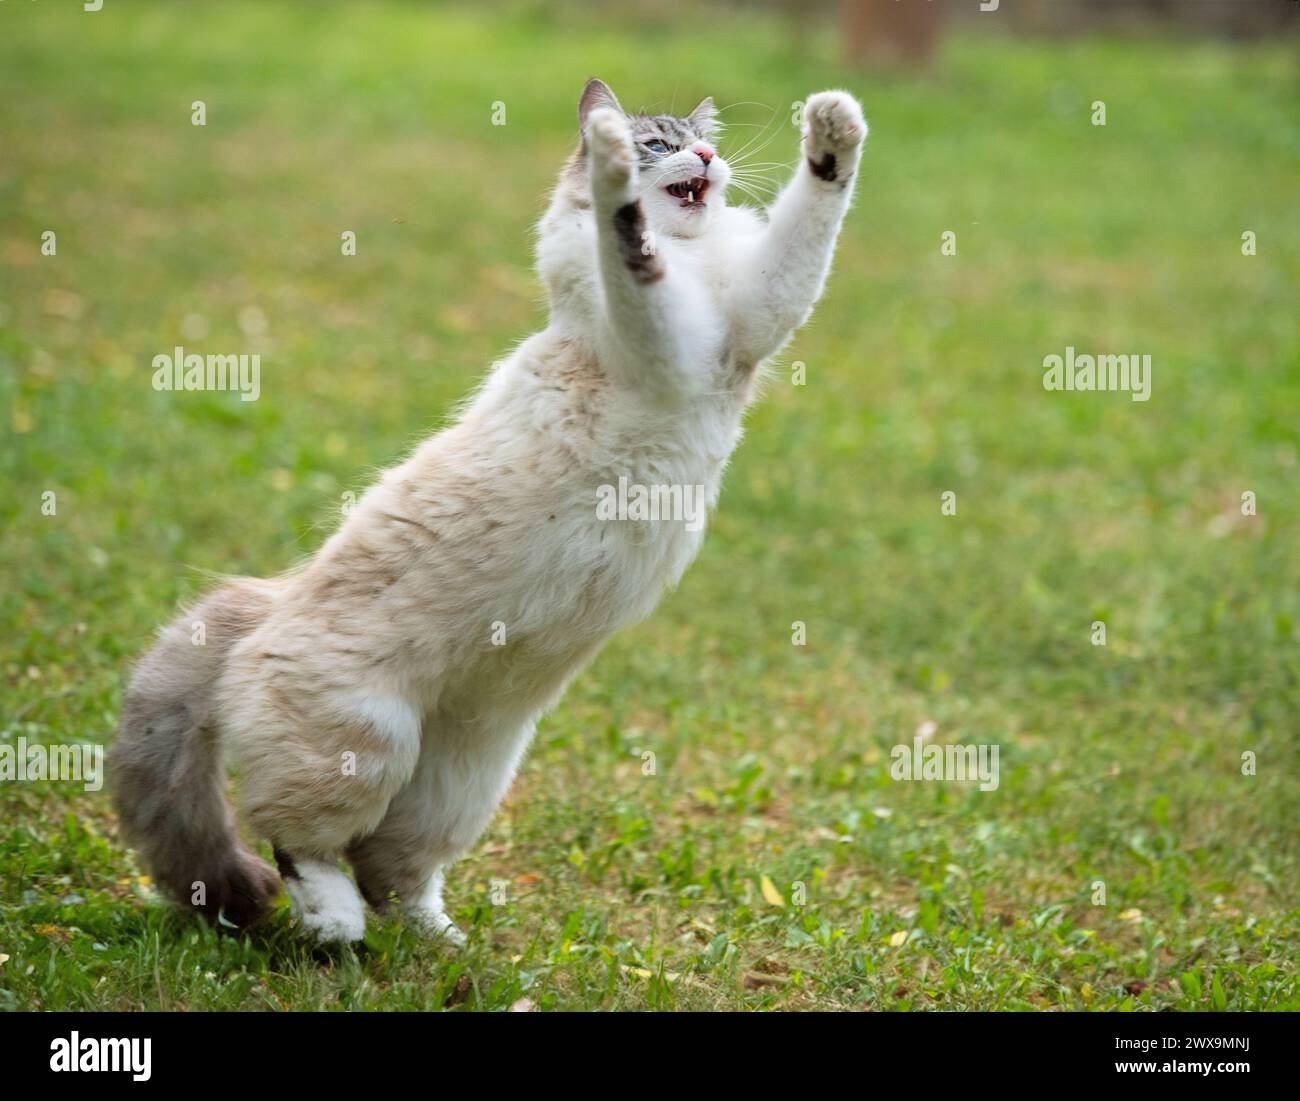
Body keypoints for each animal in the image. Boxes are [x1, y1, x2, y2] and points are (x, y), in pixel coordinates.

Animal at [109, 77, 863, 941]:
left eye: (702, 143)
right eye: (658, 144)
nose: (704, 157)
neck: (696, 263)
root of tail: (269, 598)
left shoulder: (749, 321)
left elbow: (815, 214)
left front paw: (835, 128)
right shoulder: (665, 342)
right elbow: (628, 239)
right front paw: (609, 167)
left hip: (464, 777)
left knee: (391, 867)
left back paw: (440, 941)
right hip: (366, 746)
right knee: (304, 845)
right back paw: (336, 928)